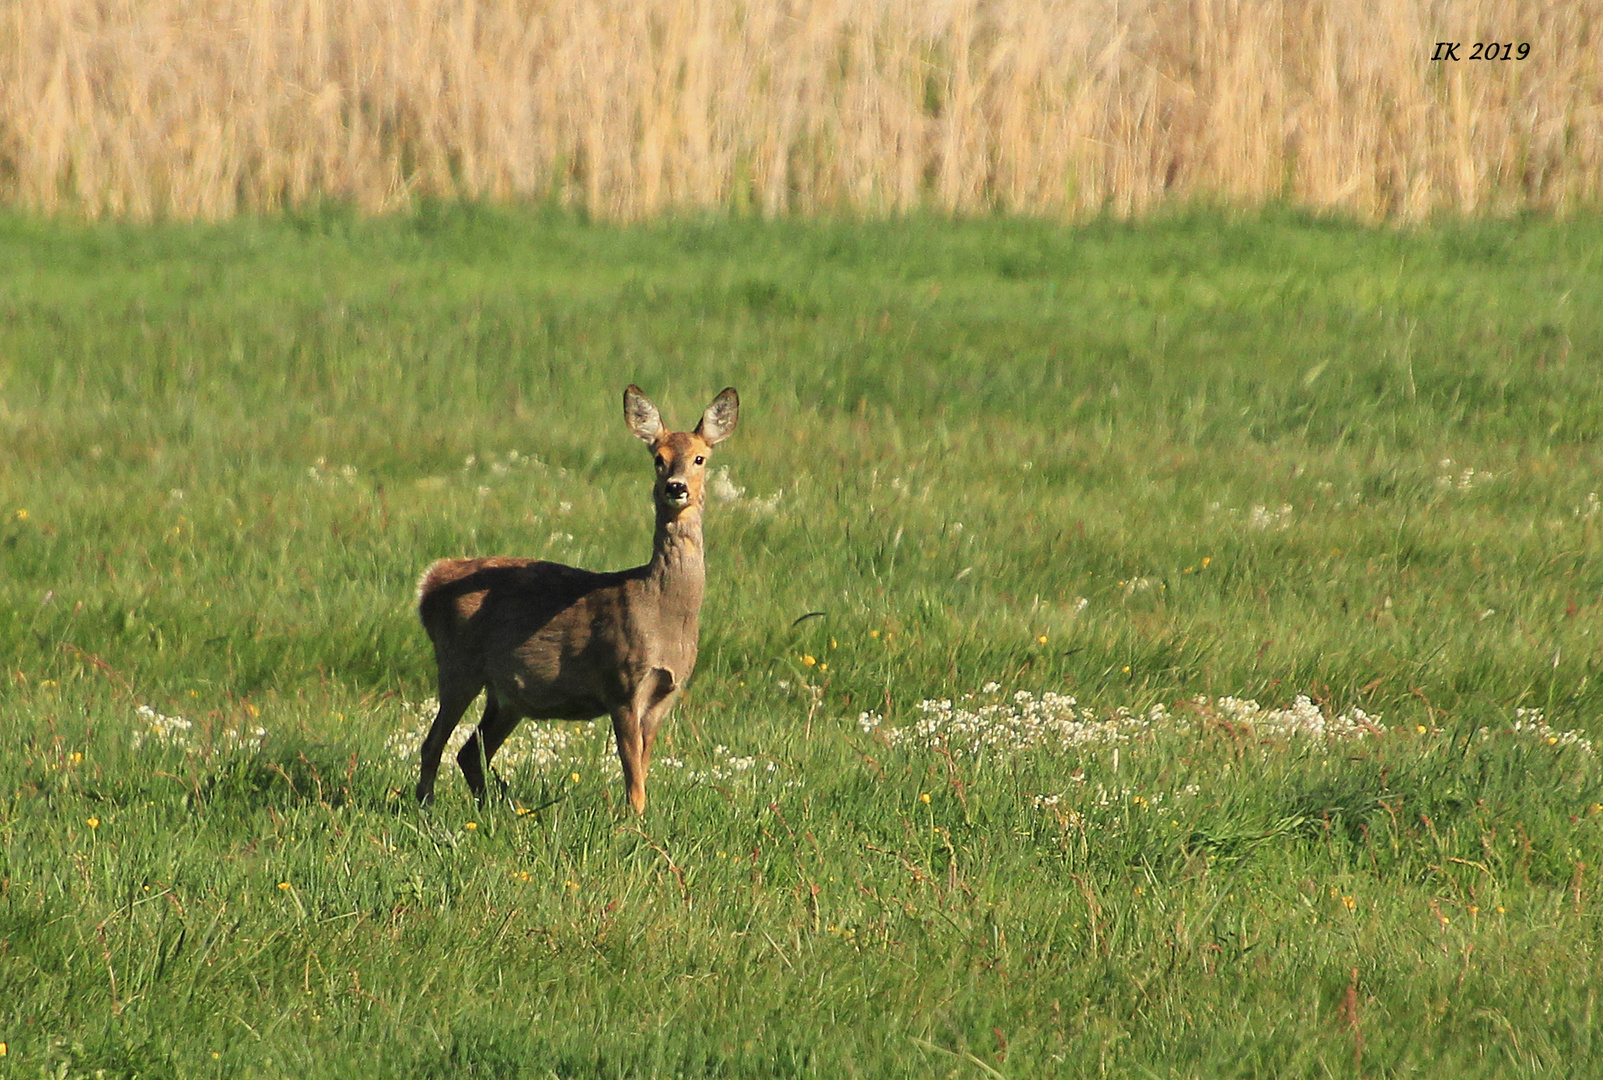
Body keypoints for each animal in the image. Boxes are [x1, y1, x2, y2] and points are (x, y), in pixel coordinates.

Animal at [413, 382, 737, 810]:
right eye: (658, 459)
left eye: (700, 458)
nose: (676, 487)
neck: (663, 612)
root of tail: (430, 580)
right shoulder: (620, 681)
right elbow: (632, 775)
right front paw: (634, 819)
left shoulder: (666, 693)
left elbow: (643, 767)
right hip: (457, 663)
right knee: (433, 744)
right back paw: (426, 809)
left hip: (507, 694)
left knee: (468, 751)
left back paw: (497, 809)